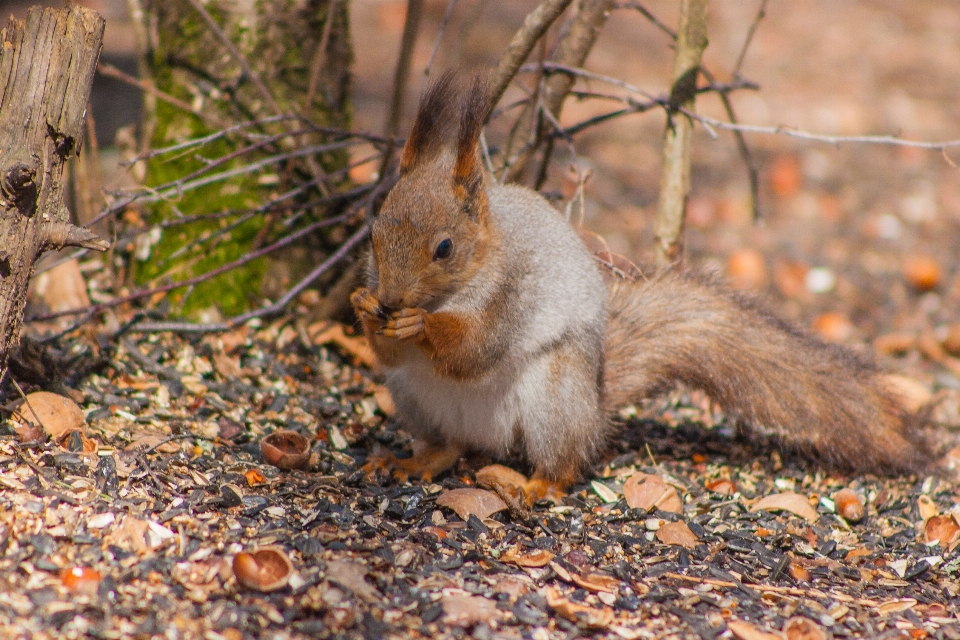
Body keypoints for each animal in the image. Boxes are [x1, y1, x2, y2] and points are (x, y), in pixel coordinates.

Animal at [350, 70, 928, 500]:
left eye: (444, 248)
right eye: (374, 230)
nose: (391, 299)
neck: (466, 278)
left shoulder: (511, 294)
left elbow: (473, 349)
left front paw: (420, 323)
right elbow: (390, 352)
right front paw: (363, 306)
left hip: (555, 396)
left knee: (564, 463)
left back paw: (538, 485)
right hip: (413, 397)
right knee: (446, 445)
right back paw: (414, 461)